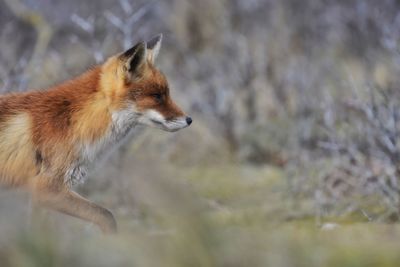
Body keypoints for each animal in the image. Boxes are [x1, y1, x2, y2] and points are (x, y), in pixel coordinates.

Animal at [0, 34, 192, 233]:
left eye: (167, 94)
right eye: (157, 96)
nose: (189, 120)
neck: (75, 121)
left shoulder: (42, 195)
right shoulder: (46, 189)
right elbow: (106, 216)